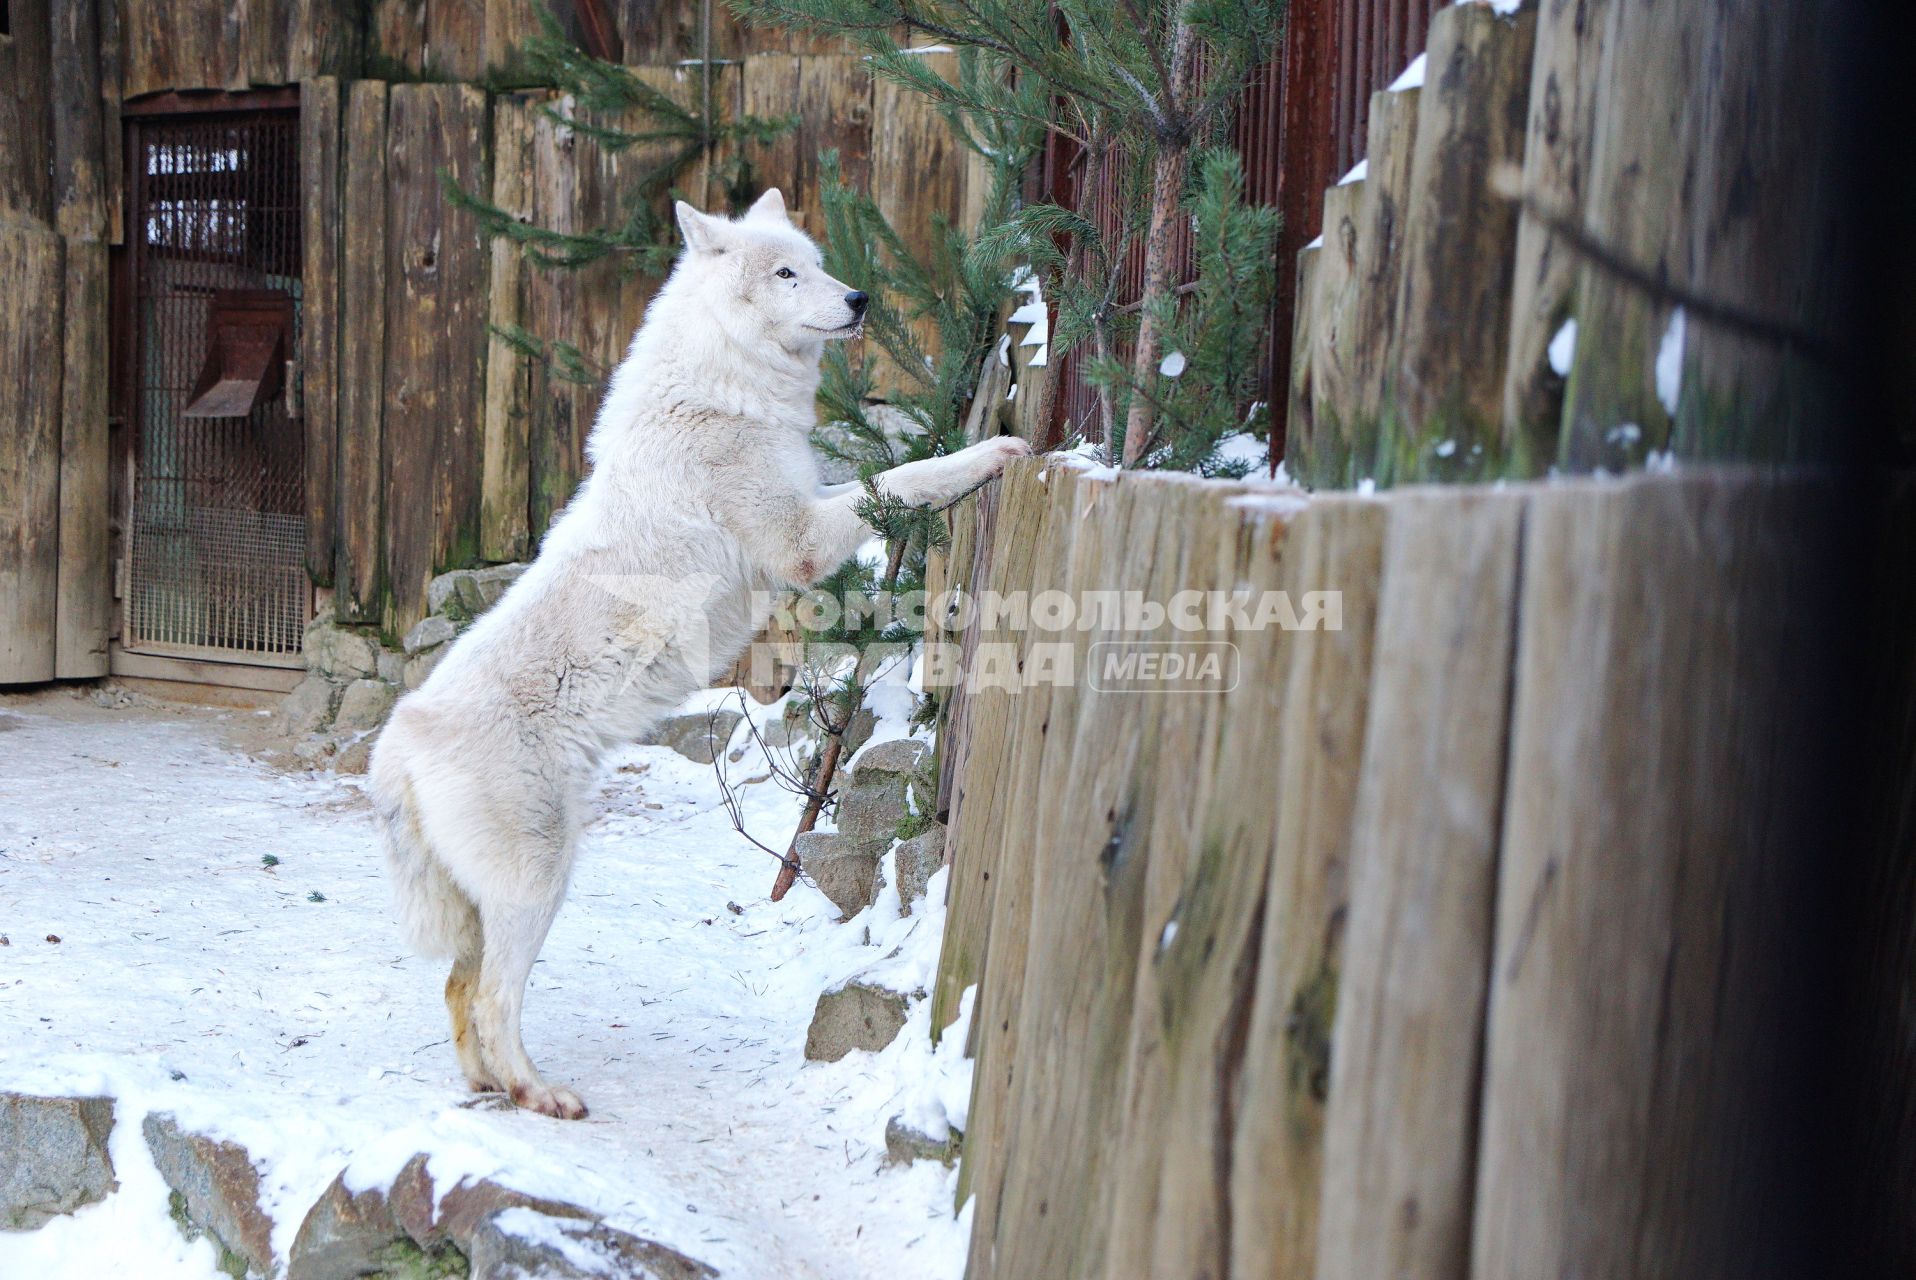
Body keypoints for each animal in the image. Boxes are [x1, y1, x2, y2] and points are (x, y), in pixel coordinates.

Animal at [365, 184, 1026, 1111]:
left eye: (818, 263)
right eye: (786, 274)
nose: (861, 300)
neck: (720, 389)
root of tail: (398, 745)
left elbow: (884, 475)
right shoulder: (802, 541)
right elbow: (903, 478)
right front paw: (994, 450)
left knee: (460, 989)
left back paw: (493, 1088)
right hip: (540, 882)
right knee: (493, 997)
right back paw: (541, 1095)